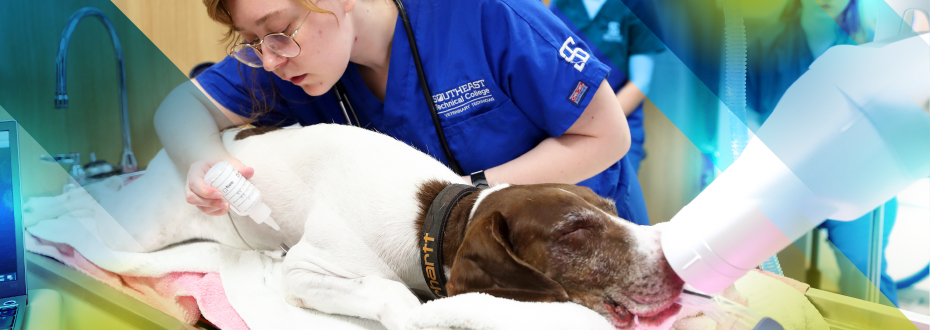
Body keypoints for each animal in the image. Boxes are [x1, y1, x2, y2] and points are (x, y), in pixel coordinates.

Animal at [99, 124, 680, 330]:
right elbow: (390, 295)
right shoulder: (304, 269)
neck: (432, 220)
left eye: (610, 207)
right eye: (573, 231)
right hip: (147, 227)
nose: (676, 265)